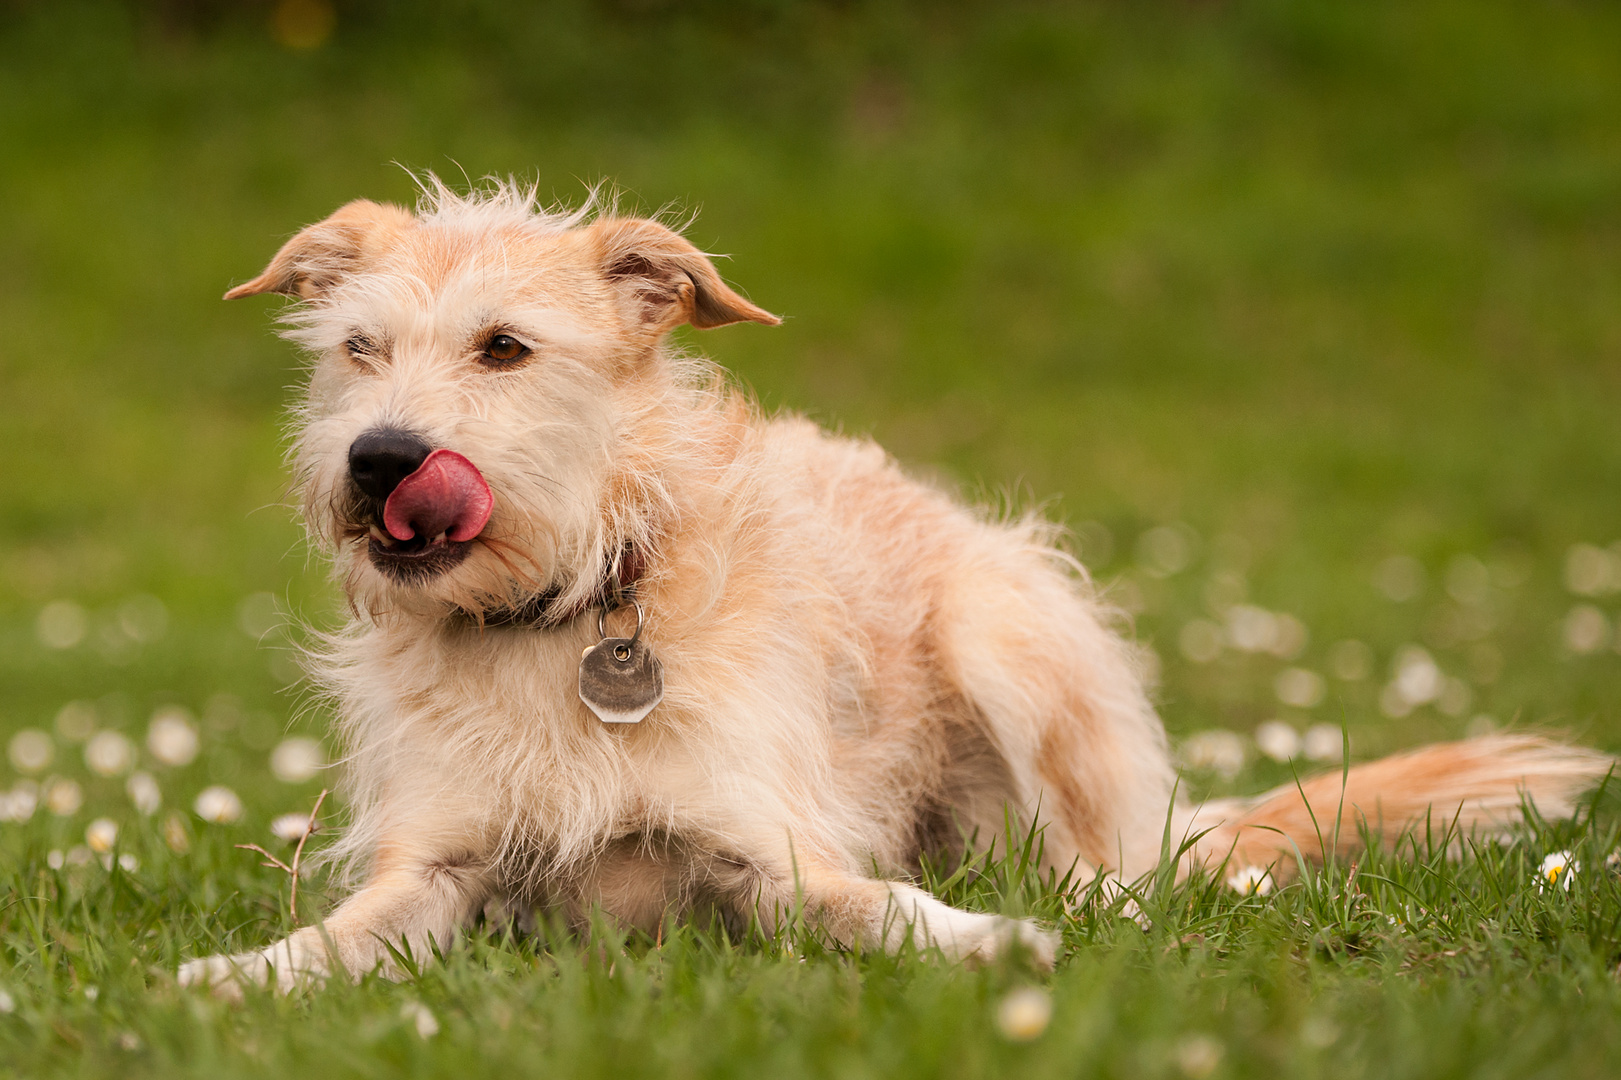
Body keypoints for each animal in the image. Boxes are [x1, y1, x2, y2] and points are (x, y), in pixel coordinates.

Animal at [177, 178, 1608, 992]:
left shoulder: (771, 853)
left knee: (1107, 864)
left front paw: (988, 946)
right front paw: (241, 973)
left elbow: (881, 904)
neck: (567, 613)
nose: (379, 459)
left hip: (1005, 631)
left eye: (504, 349)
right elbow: (344, 936)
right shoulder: (443, 869)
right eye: (358, 350)